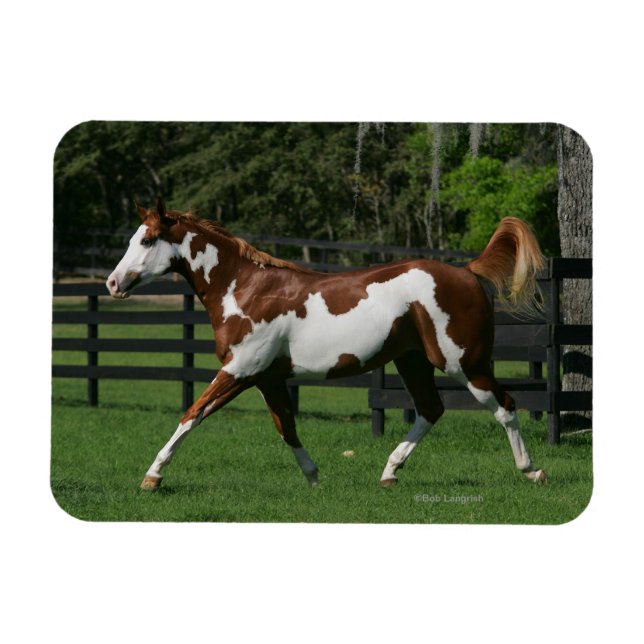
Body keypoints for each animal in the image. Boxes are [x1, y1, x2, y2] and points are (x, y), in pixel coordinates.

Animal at [106, 198, 548, 490]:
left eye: (147, 241)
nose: (112, 283)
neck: (245, 289)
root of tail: (468, 272)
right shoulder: (267, 377)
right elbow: (286, 427)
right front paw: (315, 477)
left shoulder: (240, 370)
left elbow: (192, 414)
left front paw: (152, 476)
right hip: (413, 361)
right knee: (430, 409)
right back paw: (389, 473)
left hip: (465, 363)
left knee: (505, 406)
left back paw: (532, 470)